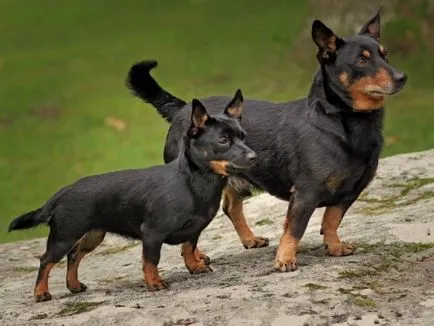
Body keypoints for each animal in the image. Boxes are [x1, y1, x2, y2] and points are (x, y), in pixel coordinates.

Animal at [8, 90, 256, 304]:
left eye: (244, 137)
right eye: (223, 140)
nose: (254, 156)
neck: (192, 183)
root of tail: (61, 193)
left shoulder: (194, 230)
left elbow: (188, 248)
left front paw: (194, 267)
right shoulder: (152, 234)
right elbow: (151, 261)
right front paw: (154, 283)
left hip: (93, 235)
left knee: (74, 256)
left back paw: (74, 285)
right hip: (64, 236)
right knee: (47, 260)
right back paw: (41, 293)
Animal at [126, 10, 406, 272]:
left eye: (386, 55)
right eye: (361, 60)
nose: (402, 77)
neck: (341, 122)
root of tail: (183, 109)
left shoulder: (350, 192)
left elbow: (331, 220)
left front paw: (334, 246)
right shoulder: (305, 194)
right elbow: (295, 229)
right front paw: (285, 260)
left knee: (231, 207)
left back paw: (248, 239)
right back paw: (196, 257)